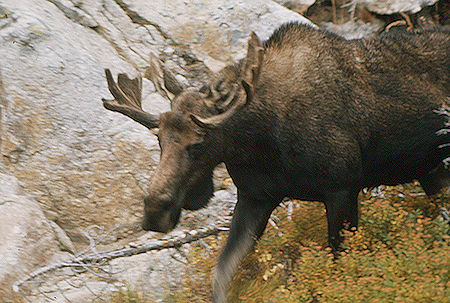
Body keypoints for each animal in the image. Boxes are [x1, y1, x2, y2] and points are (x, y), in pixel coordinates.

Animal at [102, 22, 450, 302]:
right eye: (159, 139)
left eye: (198, 143)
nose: (154, 211)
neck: (261, 142)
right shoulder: (256, 197)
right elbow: (221, 276)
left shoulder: (342, 186)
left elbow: (340, 266)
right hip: (432, 172)